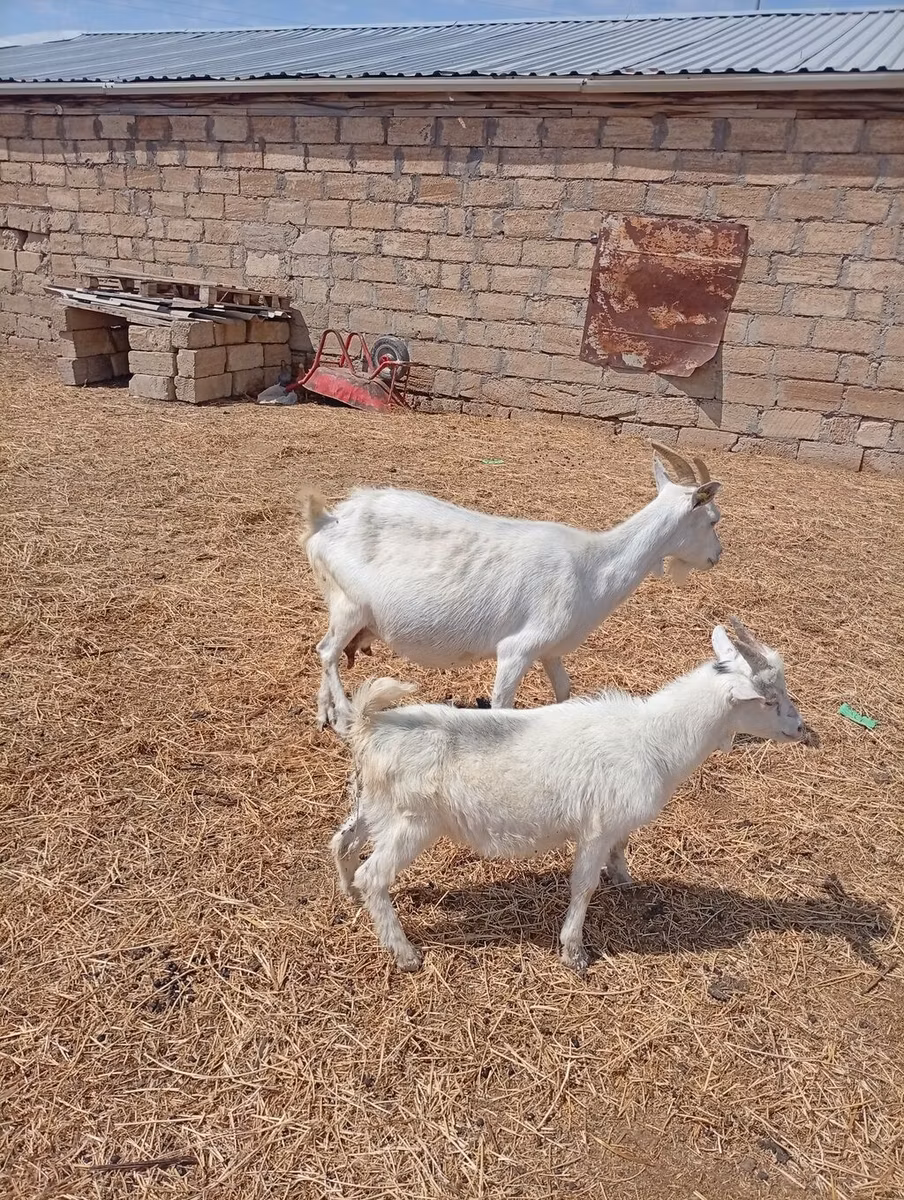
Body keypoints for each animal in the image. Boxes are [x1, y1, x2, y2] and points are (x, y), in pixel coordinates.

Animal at [301, 443, 722, 730]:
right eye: (713, 519)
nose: (716, 556)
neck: (591, 568)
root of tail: (328, 521)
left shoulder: (549, 650)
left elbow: (564, 690)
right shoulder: (517, 650)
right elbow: (502, 704)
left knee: (326, 649)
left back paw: (323, 714)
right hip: (350, 604)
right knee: (327, 652)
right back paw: (344, 716)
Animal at [329, 619, 805, 973]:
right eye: (769, 699)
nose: (802, 730)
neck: (653, 738)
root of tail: (370, 727)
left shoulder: (615, 822)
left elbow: (620, 849)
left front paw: (625, 880)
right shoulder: (595, 826)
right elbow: (583, 884)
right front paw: (574, 951)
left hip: (372, 804)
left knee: (342, 842)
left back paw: (348, 894)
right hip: (413, 821)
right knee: (374, 875)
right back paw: (406, 954)